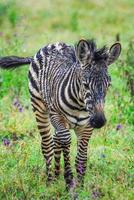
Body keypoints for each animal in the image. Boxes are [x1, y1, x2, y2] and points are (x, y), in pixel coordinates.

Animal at [0, 39, 121, 189]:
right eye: (85, 84)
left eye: (108, 85)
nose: (99, 121)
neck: (80, 105)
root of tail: (53, 43)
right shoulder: (57, 117)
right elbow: (66, 141)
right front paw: (69, 181)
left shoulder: (87, 126)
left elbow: (81, 157)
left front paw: (80, 187)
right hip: (40, 108)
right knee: (47, 145)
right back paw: (50, 181)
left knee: (55, 139)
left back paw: (56, 176)